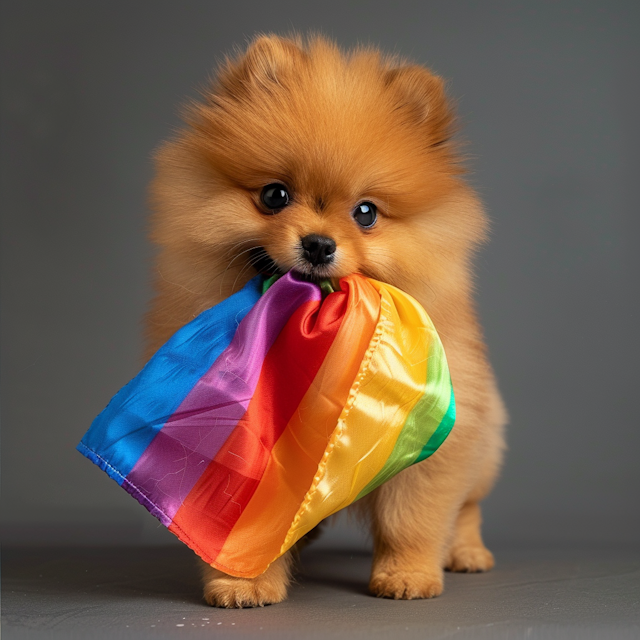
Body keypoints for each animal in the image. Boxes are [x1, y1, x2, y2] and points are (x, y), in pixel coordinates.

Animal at [145, 33, 504, 604]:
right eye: (274, 195)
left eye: (366, 213)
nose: (317, 243)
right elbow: (241, 524)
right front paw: (242, 582)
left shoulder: (432, 435)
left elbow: (412, 518)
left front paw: (408, 575)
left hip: (484, 441)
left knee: (467, 505)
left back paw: (466, 552)